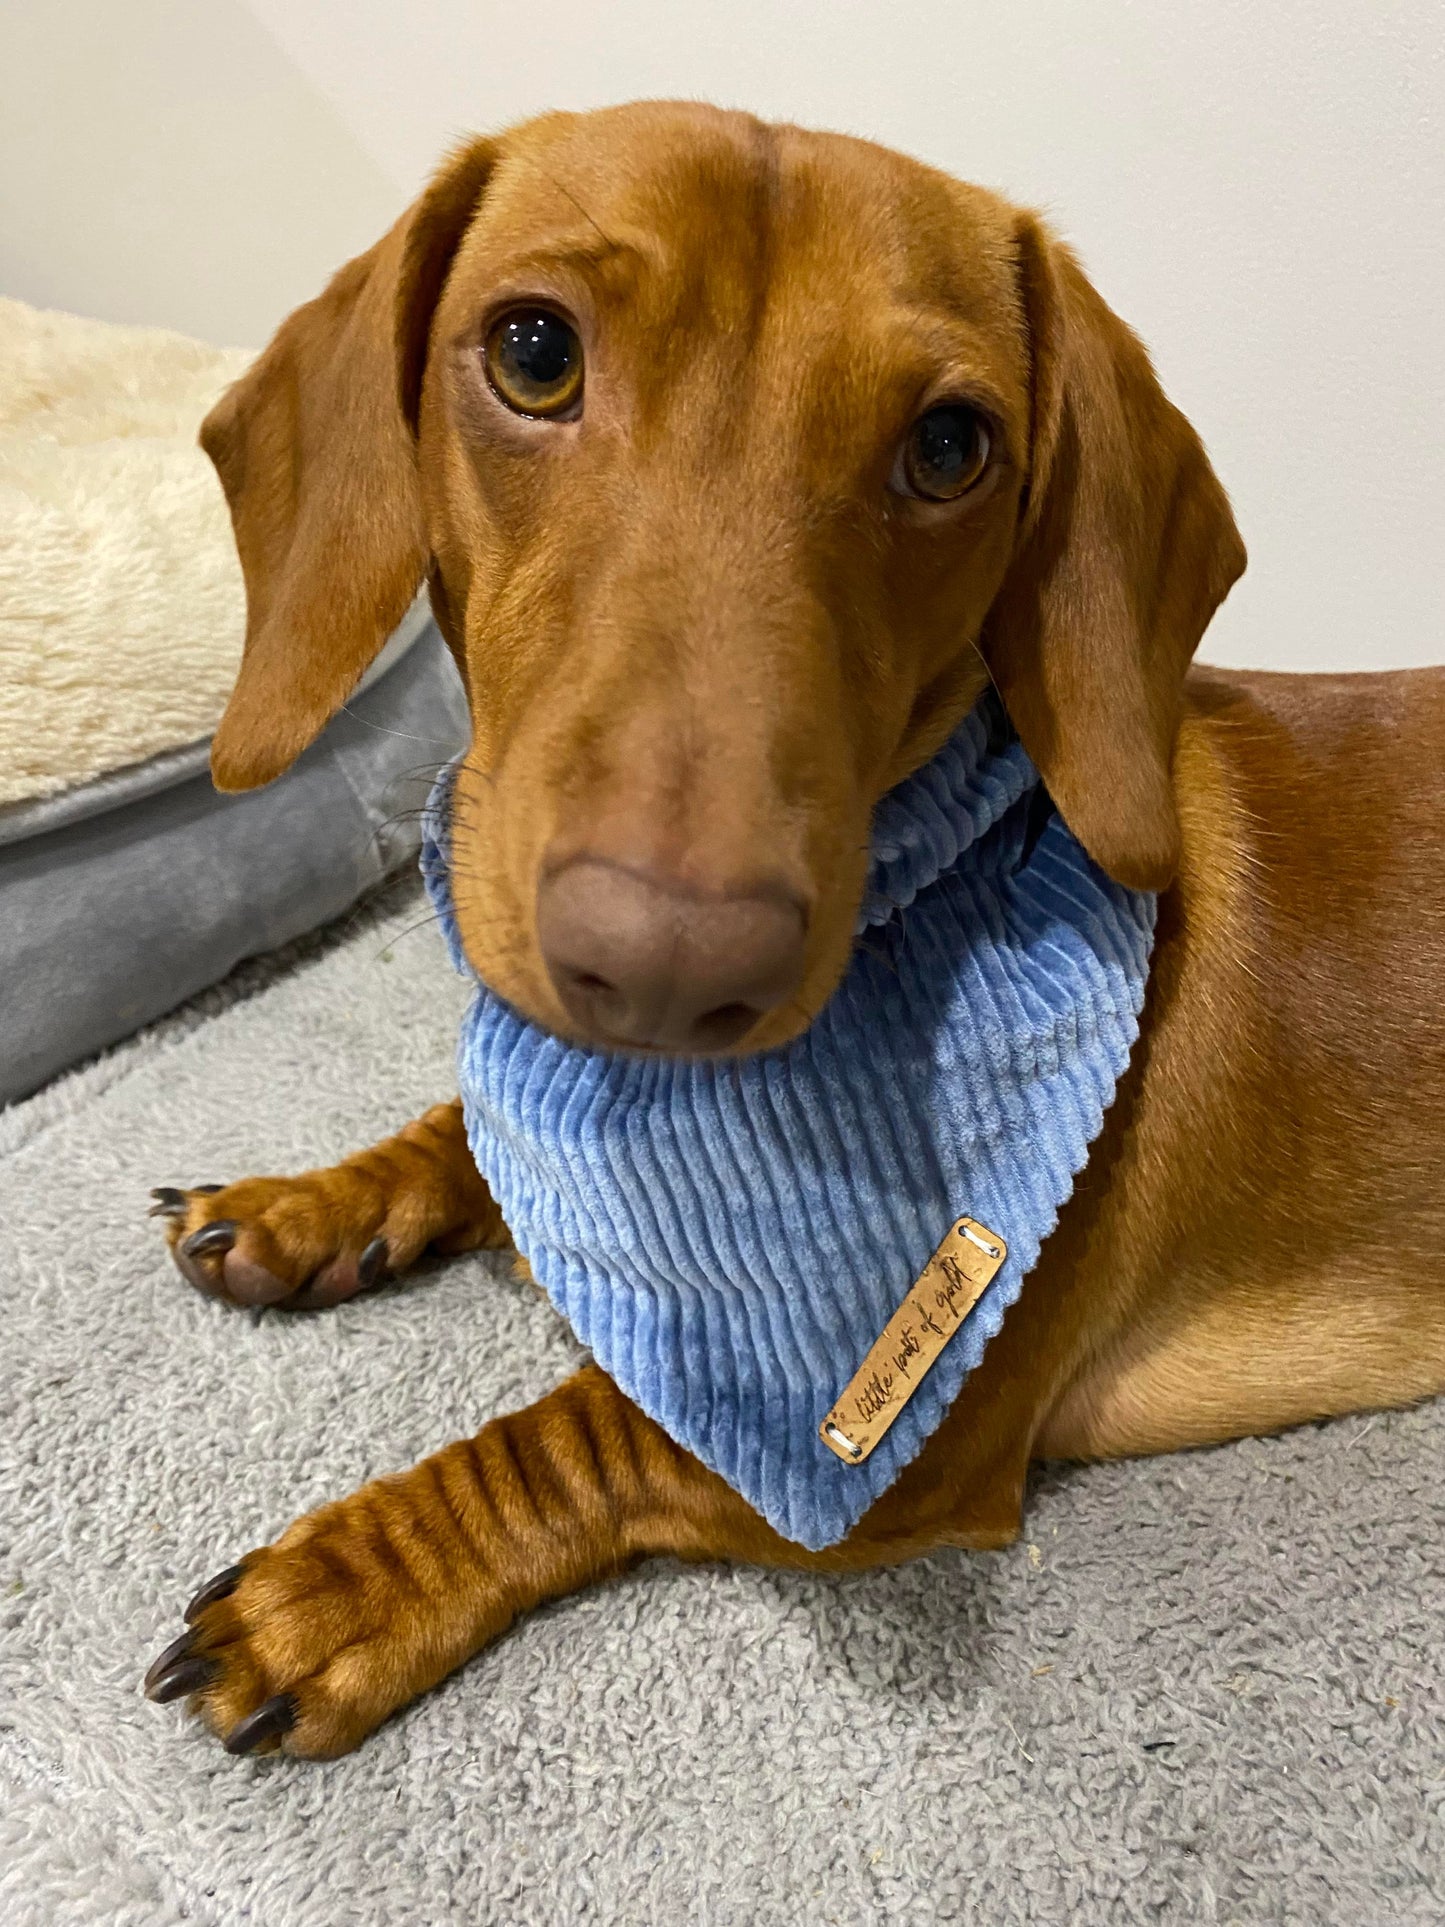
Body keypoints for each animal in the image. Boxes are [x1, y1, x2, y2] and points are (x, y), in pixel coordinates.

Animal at [144, 105, 1445, 1765]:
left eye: (949, 446)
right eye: (531, 351)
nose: (668, 965)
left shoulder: (890, 1441)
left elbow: (578, 1432)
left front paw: (343, 1582)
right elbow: (464, 1137)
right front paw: (313, 1201)